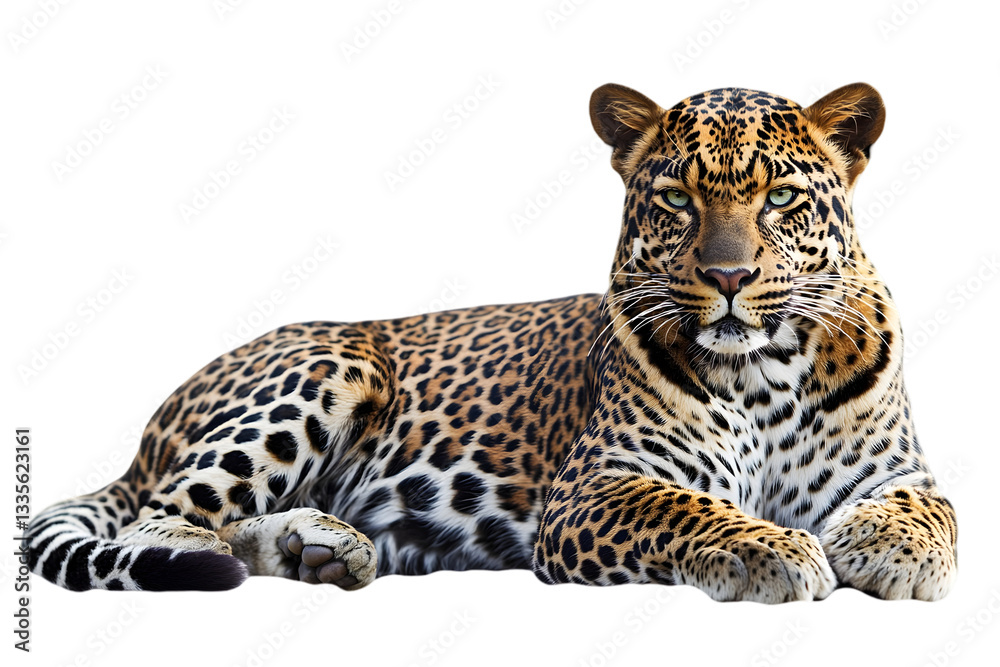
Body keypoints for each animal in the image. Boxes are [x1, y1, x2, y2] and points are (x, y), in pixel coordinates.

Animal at [27, 82, 957, 602]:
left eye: (781, 200)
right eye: (676, 201)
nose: (728, 276)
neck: (765, 368)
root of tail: (152, 428)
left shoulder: (896, 471)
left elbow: (934, 510)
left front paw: (891, 552)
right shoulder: (597, 487)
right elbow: (691, 508)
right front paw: (772, 548)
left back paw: (316, 547)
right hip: (328, 366)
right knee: (161, 518)